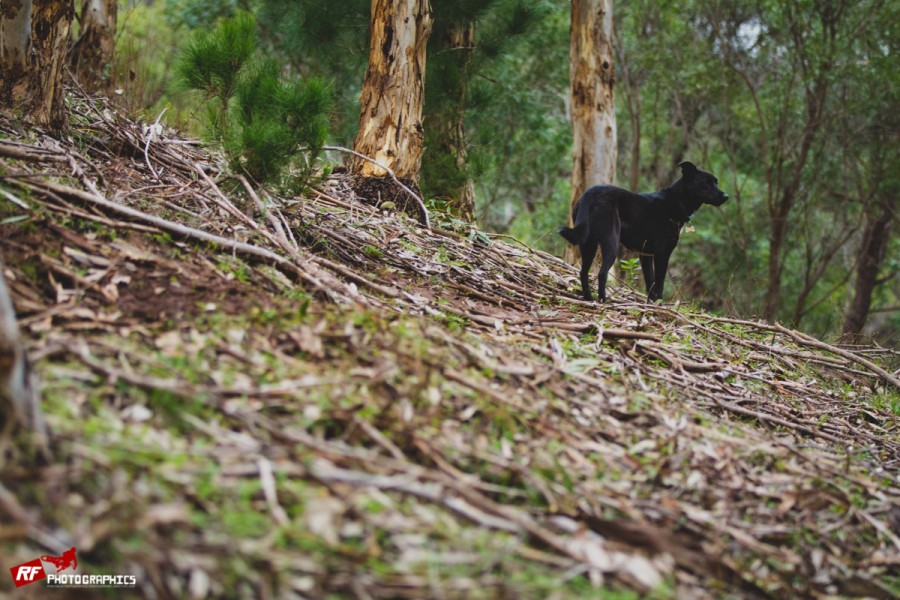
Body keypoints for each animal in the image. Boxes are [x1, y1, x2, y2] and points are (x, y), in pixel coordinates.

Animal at [560, 162, 728, 302]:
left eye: (716, 182)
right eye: (705, 183)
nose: (726, 196)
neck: (677, 201)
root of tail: (589, 194)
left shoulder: (645, 255)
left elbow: (650, 284)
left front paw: (650, 304)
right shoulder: (662, 254)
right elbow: (659, 284)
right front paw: (659, 305)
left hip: (588, 244)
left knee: (583, 272)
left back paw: (589, 298)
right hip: (611, 242)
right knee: (602, 273)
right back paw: (603, 300)